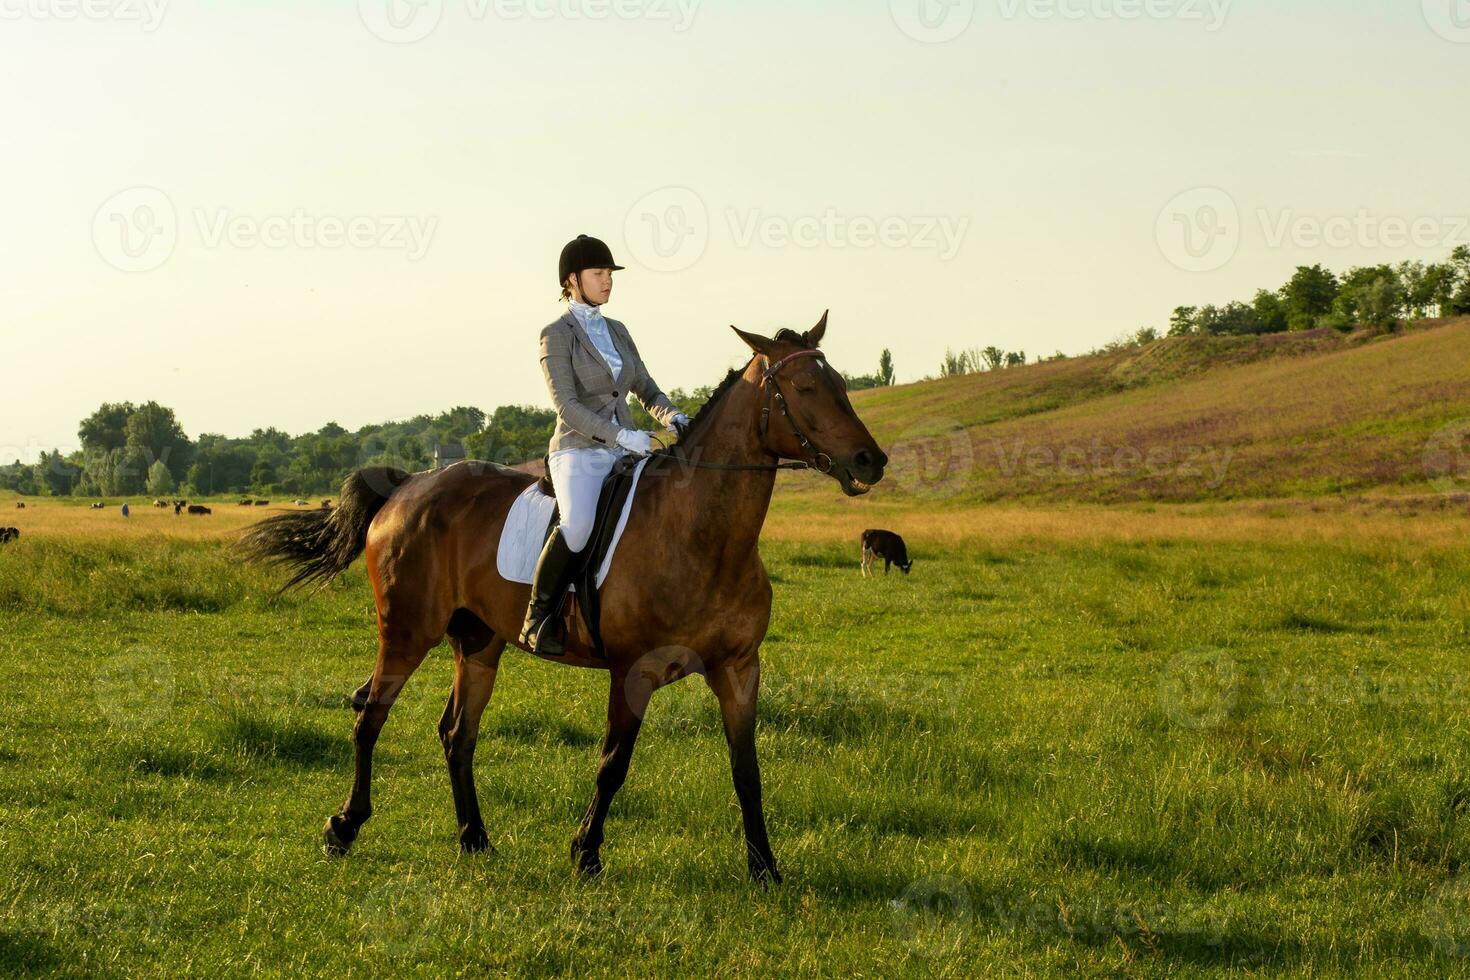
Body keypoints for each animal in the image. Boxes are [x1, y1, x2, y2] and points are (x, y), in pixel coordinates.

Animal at [236, 314, 887, 881]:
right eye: (805, 388)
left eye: (841, 383)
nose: (871, 461)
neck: (701, 533)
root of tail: (407, 486)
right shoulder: (633, 671)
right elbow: (612, 766)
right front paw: (586, 854)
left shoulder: (739, 669)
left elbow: (746, 770)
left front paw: (765, 869)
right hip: (405, 632)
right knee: (371, 715)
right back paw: (344, 827)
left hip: (478, 642)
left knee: (457, 734)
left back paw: (475, 839)